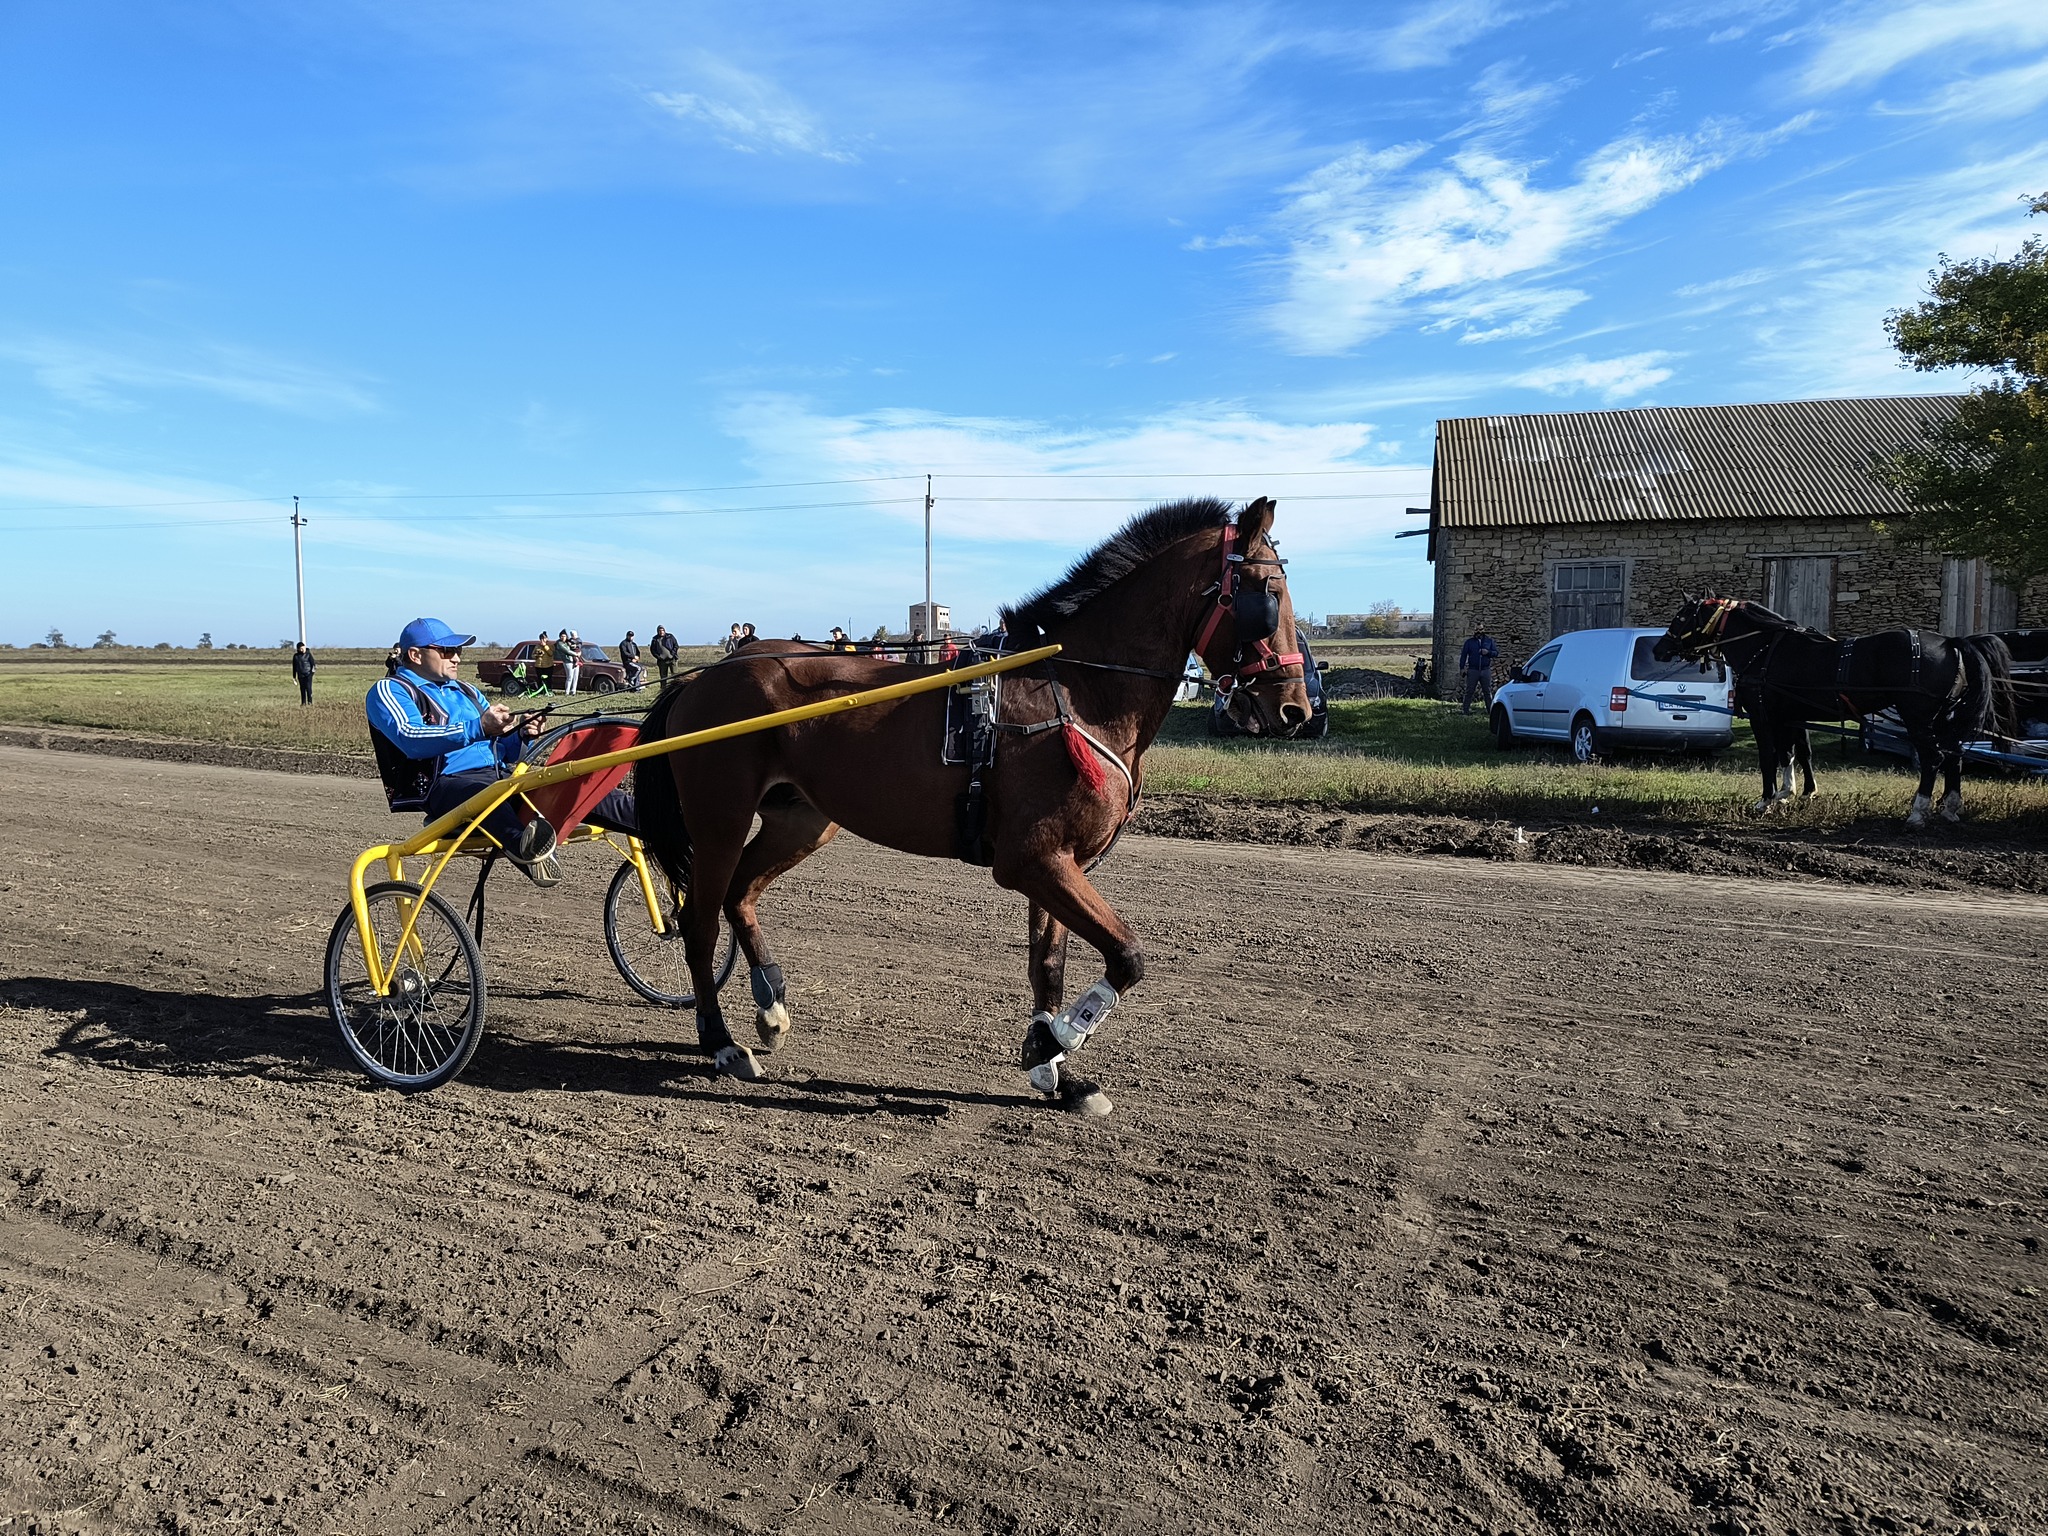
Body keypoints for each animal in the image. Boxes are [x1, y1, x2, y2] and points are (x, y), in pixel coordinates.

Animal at [630, 499, 1310, 1114]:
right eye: (1268, 592)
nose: (1295, 709)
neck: (1074, 691)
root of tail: (704, 676)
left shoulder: (1060, 864)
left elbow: (1049, 965)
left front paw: (1059, 1074)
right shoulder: (1033, 861)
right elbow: (1128, 956)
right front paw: (1052, 1044)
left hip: (802, 820)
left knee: (741, 893)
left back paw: (771, 1008)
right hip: (718, 820)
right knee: (700, 921)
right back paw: (720, 1043)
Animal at [1646, 593, 2015, 823]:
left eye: (1681, 617)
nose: (1659, 650)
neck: (1764, 648)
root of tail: (1951, 642)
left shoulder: (1764, 717)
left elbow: (1769, 756)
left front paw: (1765, 800)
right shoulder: (1791, 715)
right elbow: (1794, 754)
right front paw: (1792, 793)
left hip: (1919, 717)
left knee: (1933, 758)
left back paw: (1918, 810)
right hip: (1942, 718)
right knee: (1954, 755)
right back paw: (1950, 806)